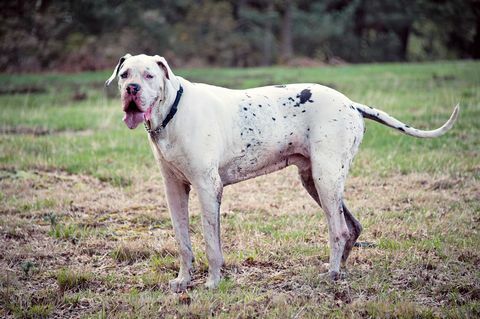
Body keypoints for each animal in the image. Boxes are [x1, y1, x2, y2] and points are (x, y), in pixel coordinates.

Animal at [105, 53, 458, 292]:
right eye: (124, 74)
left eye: (150, 76)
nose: (132, 89)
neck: (172, 113)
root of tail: (352, 104)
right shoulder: (175, 190)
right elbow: (183, 241)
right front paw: (182, 280)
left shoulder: (208, 187)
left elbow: (211, 244)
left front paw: (214, 283)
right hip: (314, 181)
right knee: (353, 227)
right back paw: (341, 271)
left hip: (326, 179)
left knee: (339, 230)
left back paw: (332, 274)